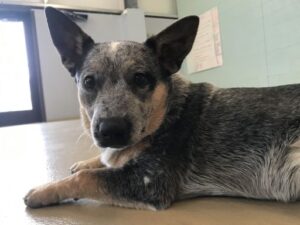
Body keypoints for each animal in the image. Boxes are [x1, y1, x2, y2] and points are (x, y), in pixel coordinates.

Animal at [24, 7, 300, 210]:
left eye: (140, 79)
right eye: (89, 82)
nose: (110, 130)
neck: (167, 115)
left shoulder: (149, 181)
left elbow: (85, 177)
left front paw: (44, 190)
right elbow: (100, 161)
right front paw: (88, 161)